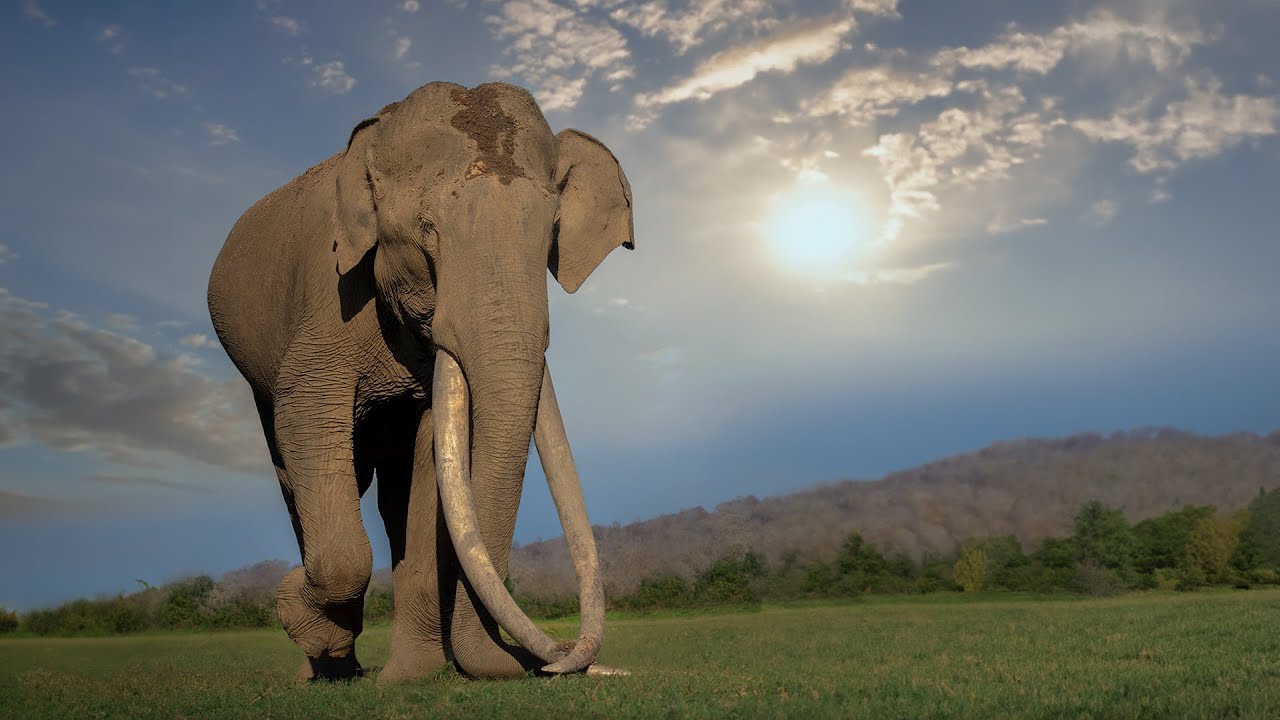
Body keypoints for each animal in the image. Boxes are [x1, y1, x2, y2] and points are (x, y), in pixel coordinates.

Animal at [207, 81, 633, 682]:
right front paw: (306, 619)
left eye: (550, 234)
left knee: (393, 496)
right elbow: (306, 415)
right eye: (427, 230)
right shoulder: (325, 303)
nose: (550, 660)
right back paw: (325, 668)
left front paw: (409, 679)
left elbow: (433, 456)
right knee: (295, 477)